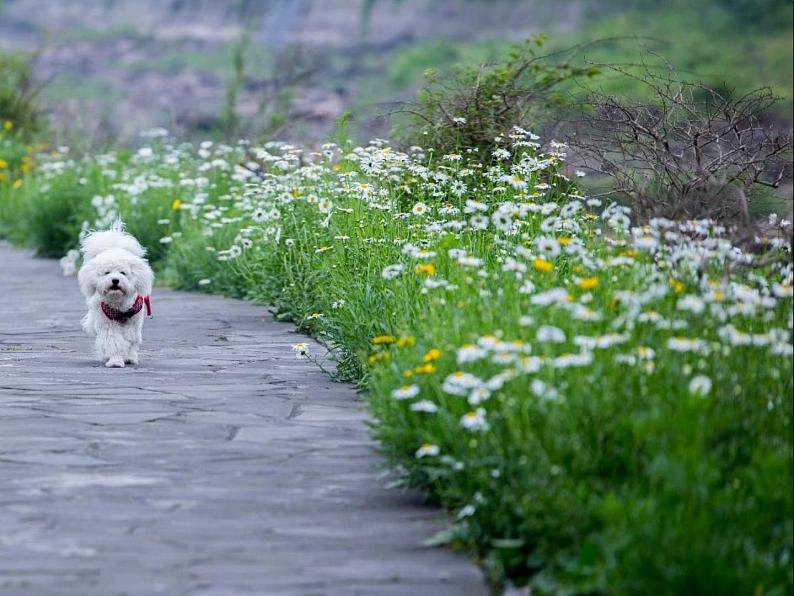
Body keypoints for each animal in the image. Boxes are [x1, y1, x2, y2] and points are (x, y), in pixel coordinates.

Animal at [77, 221, 153, 366]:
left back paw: (130, 357)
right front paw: (115, 361)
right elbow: (113, 341)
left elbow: (130, 338)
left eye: (123, 273)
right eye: (107, 272)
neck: (119, 304)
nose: (115, 280)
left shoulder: (133, 321)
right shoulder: (106, 322)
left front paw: (126, 355)